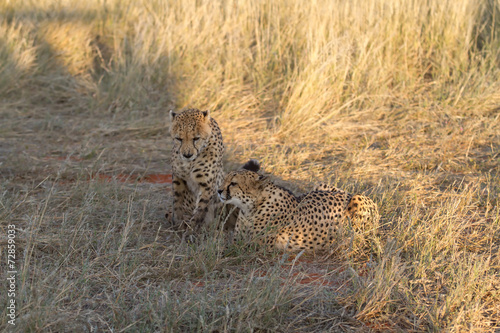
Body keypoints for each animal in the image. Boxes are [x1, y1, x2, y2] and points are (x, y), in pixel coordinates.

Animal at [218, 160, 378, 250]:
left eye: (233, 183)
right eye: (224, 179)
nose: (219, 191)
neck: (251, 207)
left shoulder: (254, 246)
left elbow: (226, 250)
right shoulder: (238, 238)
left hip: (357, 202)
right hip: (320, 185)